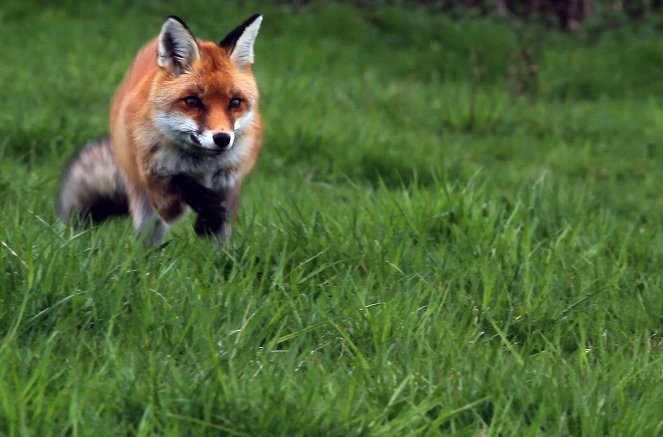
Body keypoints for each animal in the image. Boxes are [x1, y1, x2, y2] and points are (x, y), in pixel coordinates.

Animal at [57, 13, 264, 245]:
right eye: (192, 102)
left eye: (235, 103)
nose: (222, 138)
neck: (199, 165)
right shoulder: (161, 195)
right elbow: (181, 184)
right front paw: (204, 205)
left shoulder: (231, 179)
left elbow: (220, 214)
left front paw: (208, 220)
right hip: (144, 209)